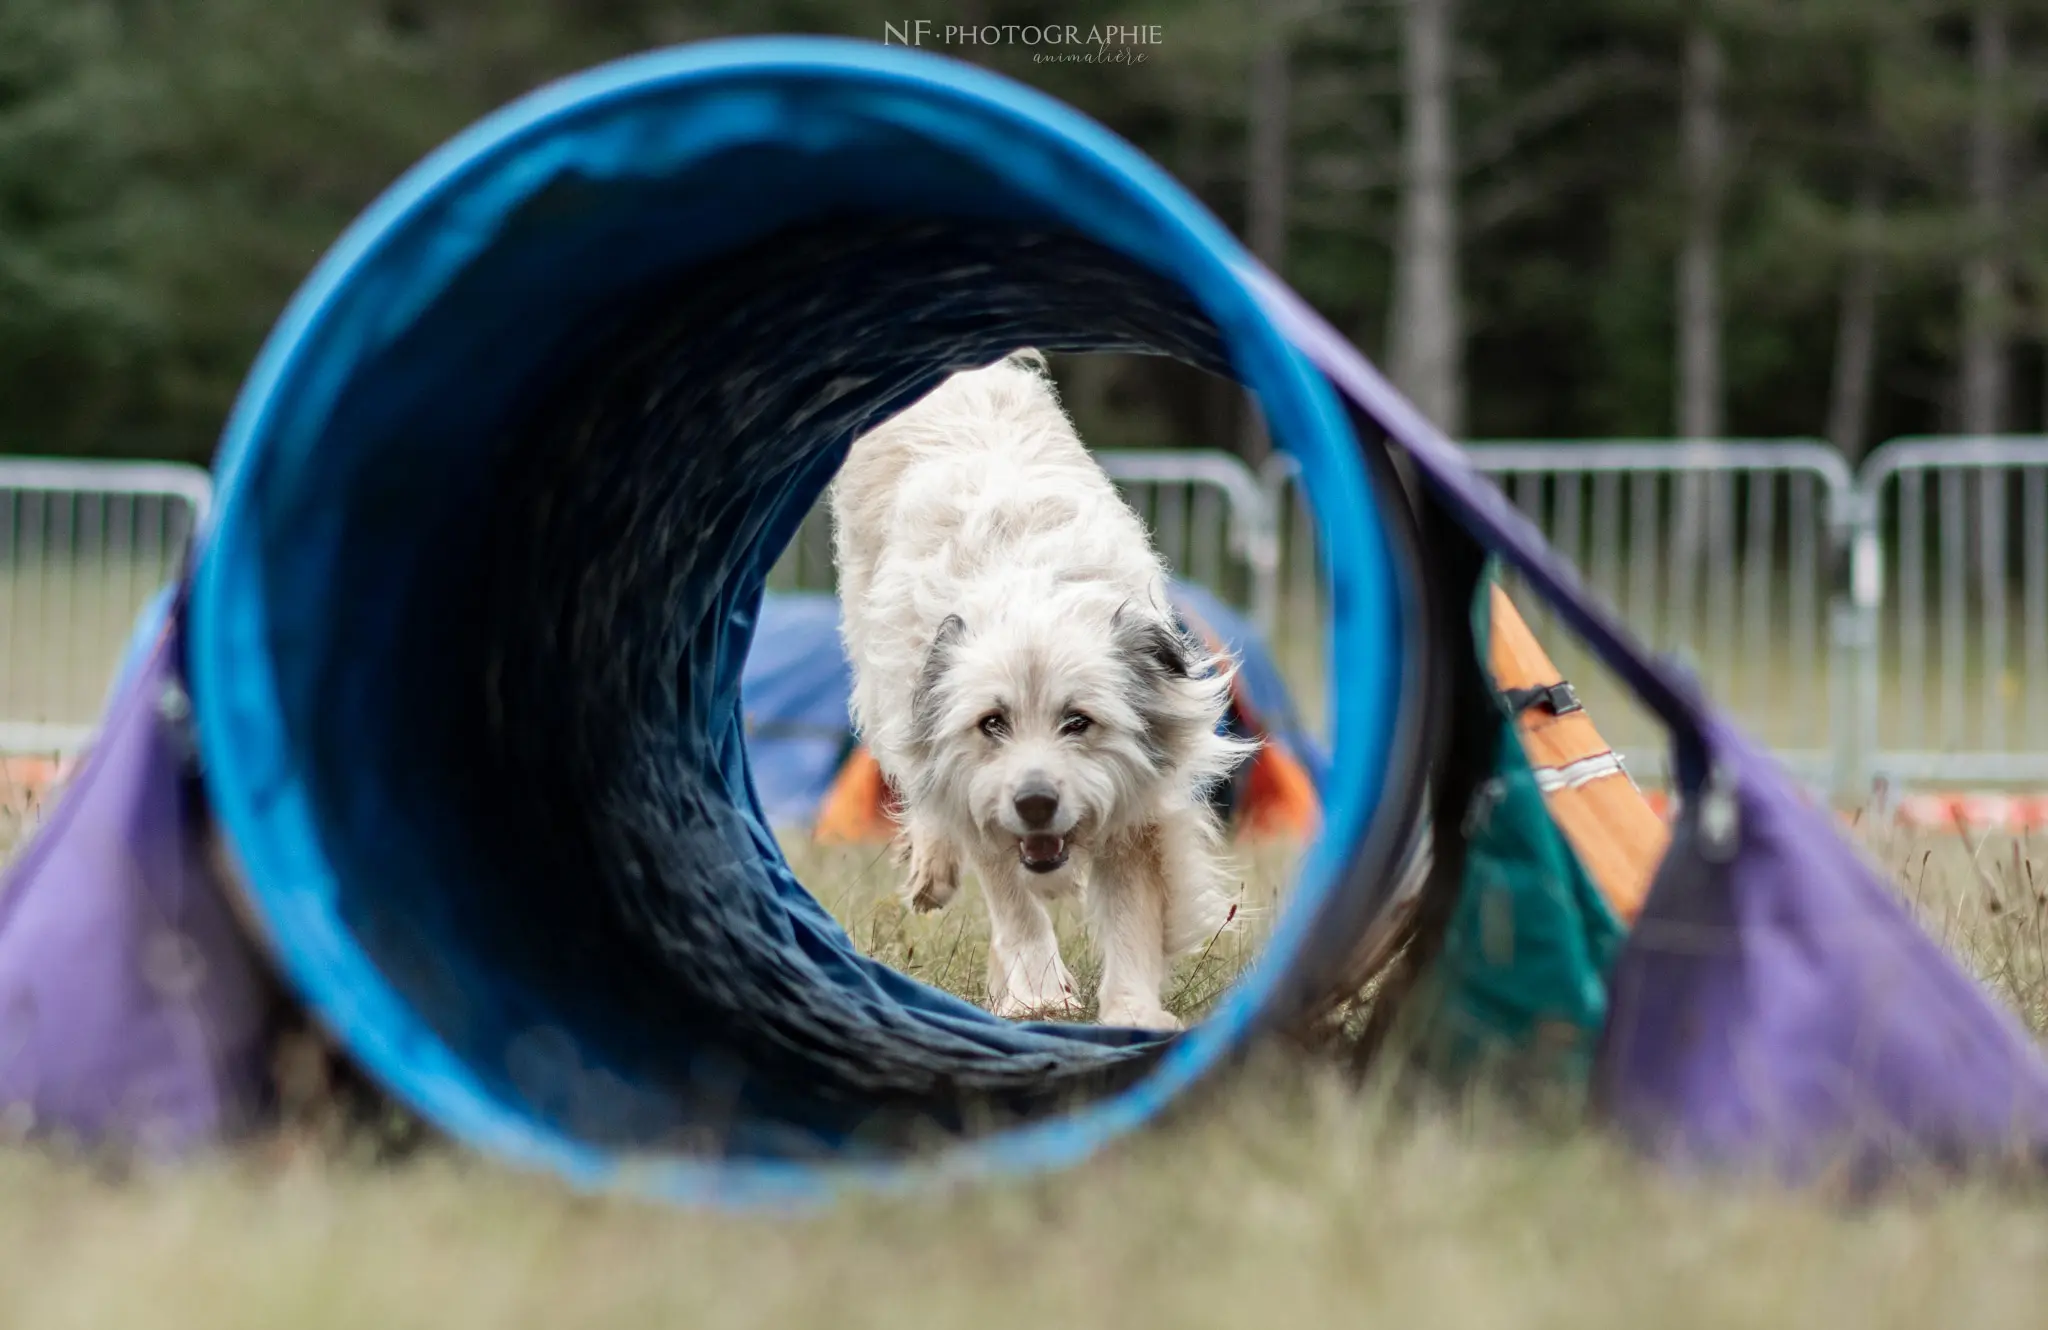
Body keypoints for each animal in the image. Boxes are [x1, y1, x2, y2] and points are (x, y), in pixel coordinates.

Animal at [827, 350, 1245, 1028]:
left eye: (1078, 720)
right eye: (992, 722)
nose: (1035, 804)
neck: (1030, 598)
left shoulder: (1140, 800)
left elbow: (1131, 912)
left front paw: (1131, 1011)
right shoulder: (972, 780)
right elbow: (1011, 894)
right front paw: (1039, 993)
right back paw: (933, 869)